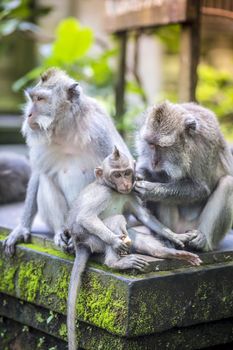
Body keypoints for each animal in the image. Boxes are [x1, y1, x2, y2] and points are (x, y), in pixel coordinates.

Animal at [66, 146, 202, 350]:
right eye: (116, 174)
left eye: (127, 173)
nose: (124, 182)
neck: (114, 191)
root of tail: (78, 243)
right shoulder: (103, 194)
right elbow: (86, 217)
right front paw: (115, 243)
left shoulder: (130, 193)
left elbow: (144, 216)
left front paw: (174, 236)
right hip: (91, 239)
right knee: (115, 221)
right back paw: (116, 262)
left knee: (132, 234)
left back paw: (169, 253)